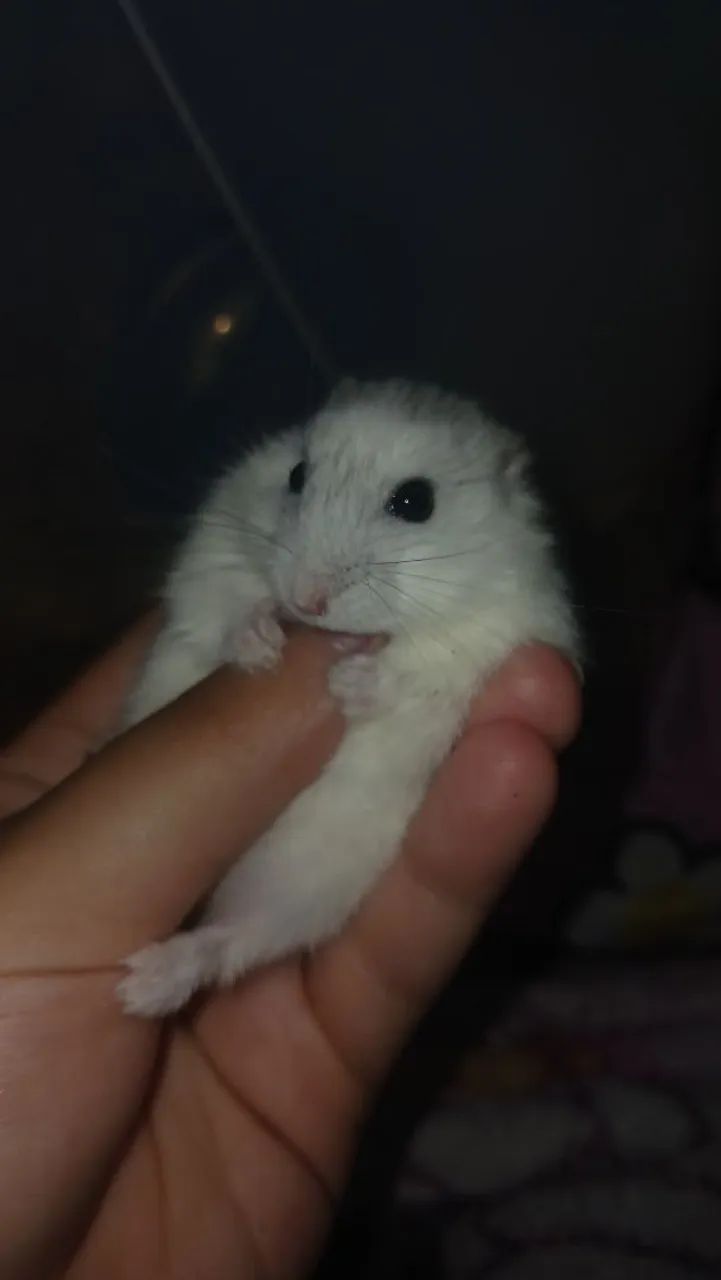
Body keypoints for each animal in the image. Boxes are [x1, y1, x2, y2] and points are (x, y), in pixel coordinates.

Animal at [118, 379, 580, 1017]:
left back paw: (143, 987)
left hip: (310, 888)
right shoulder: (217, 548)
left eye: (415, 501)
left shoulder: (505, 627)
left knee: (237, 942)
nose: (306, 601)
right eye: (296, 475)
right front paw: (262, 645)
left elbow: (427, 670)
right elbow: (227, 603)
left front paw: (348, 683)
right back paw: (134, 988)